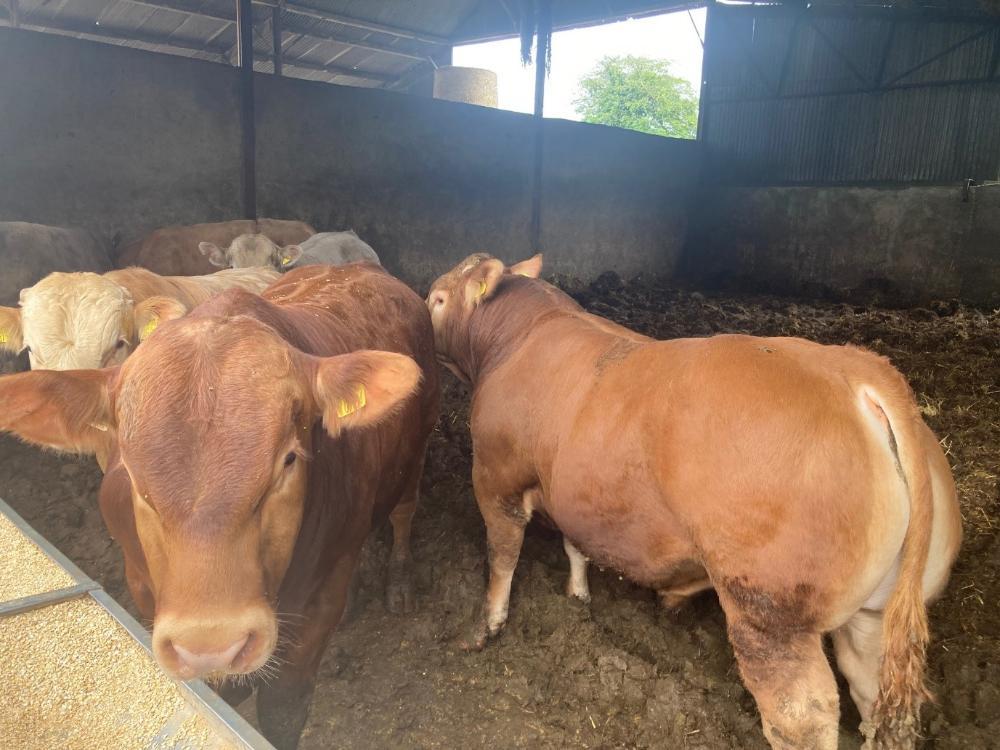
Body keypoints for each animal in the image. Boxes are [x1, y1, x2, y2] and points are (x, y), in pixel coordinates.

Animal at [0, 264, 440, 749]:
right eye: (130, 470)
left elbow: (283, 709)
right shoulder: (143, 588)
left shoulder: (318, 606)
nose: (213, 643)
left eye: (289, 459)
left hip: (418, 447)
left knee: (404, 511)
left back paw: (399, 581)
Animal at [425, 253, 962, 750]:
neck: (522, 335)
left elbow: (502, 555)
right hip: (873, 617)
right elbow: (575, 544)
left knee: (800, 715)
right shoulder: (572, 490)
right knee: (871, 692)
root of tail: (857, 369)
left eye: (437, 300)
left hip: (769, 614)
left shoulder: (494, 476)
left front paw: (484, 628)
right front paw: (577, 597)